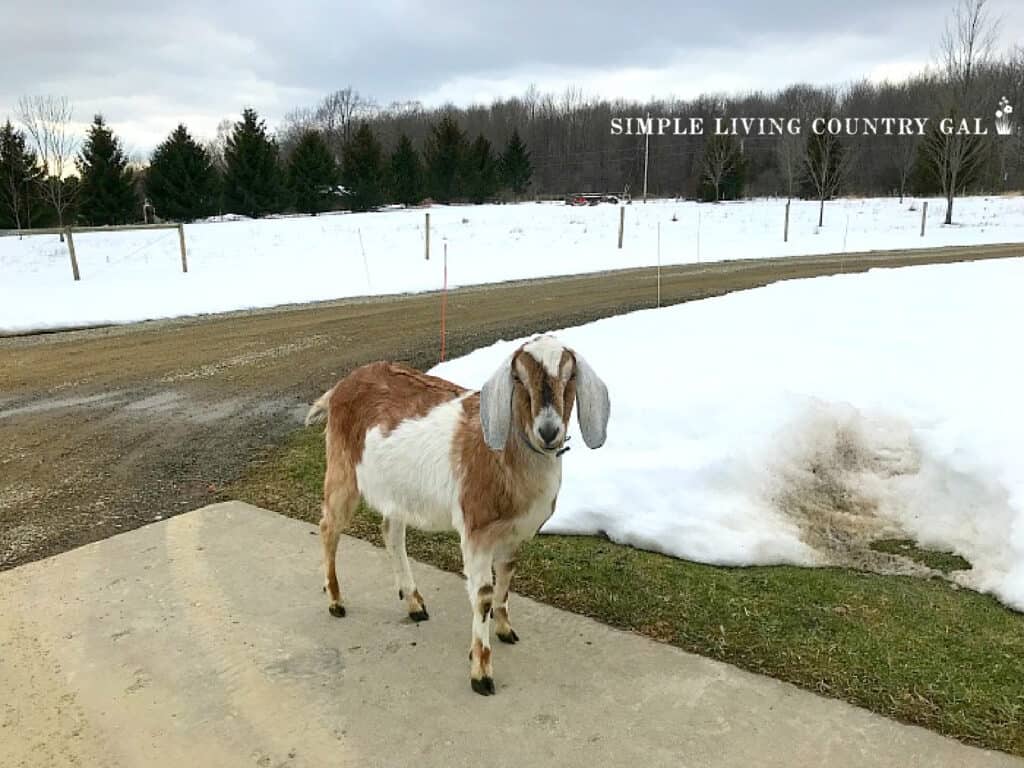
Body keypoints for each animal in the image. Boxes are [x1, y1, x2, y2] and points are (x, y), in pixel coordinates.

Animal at [303, 335, 606, 696]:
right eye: (518, 378)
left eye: (570, 375)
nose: (548, 431)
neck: (506, 457)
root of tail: (339, 387)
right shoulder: (477, 531)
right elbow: (483, 596)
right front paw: (481, 674)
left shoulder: (514, 532)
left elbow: (507, 576)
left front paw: (505, 629)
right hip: (342, 470)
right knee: (328, 527)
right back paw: (336, 601)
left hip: (398, 491)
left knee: (391, 532)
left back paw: (414, 604)